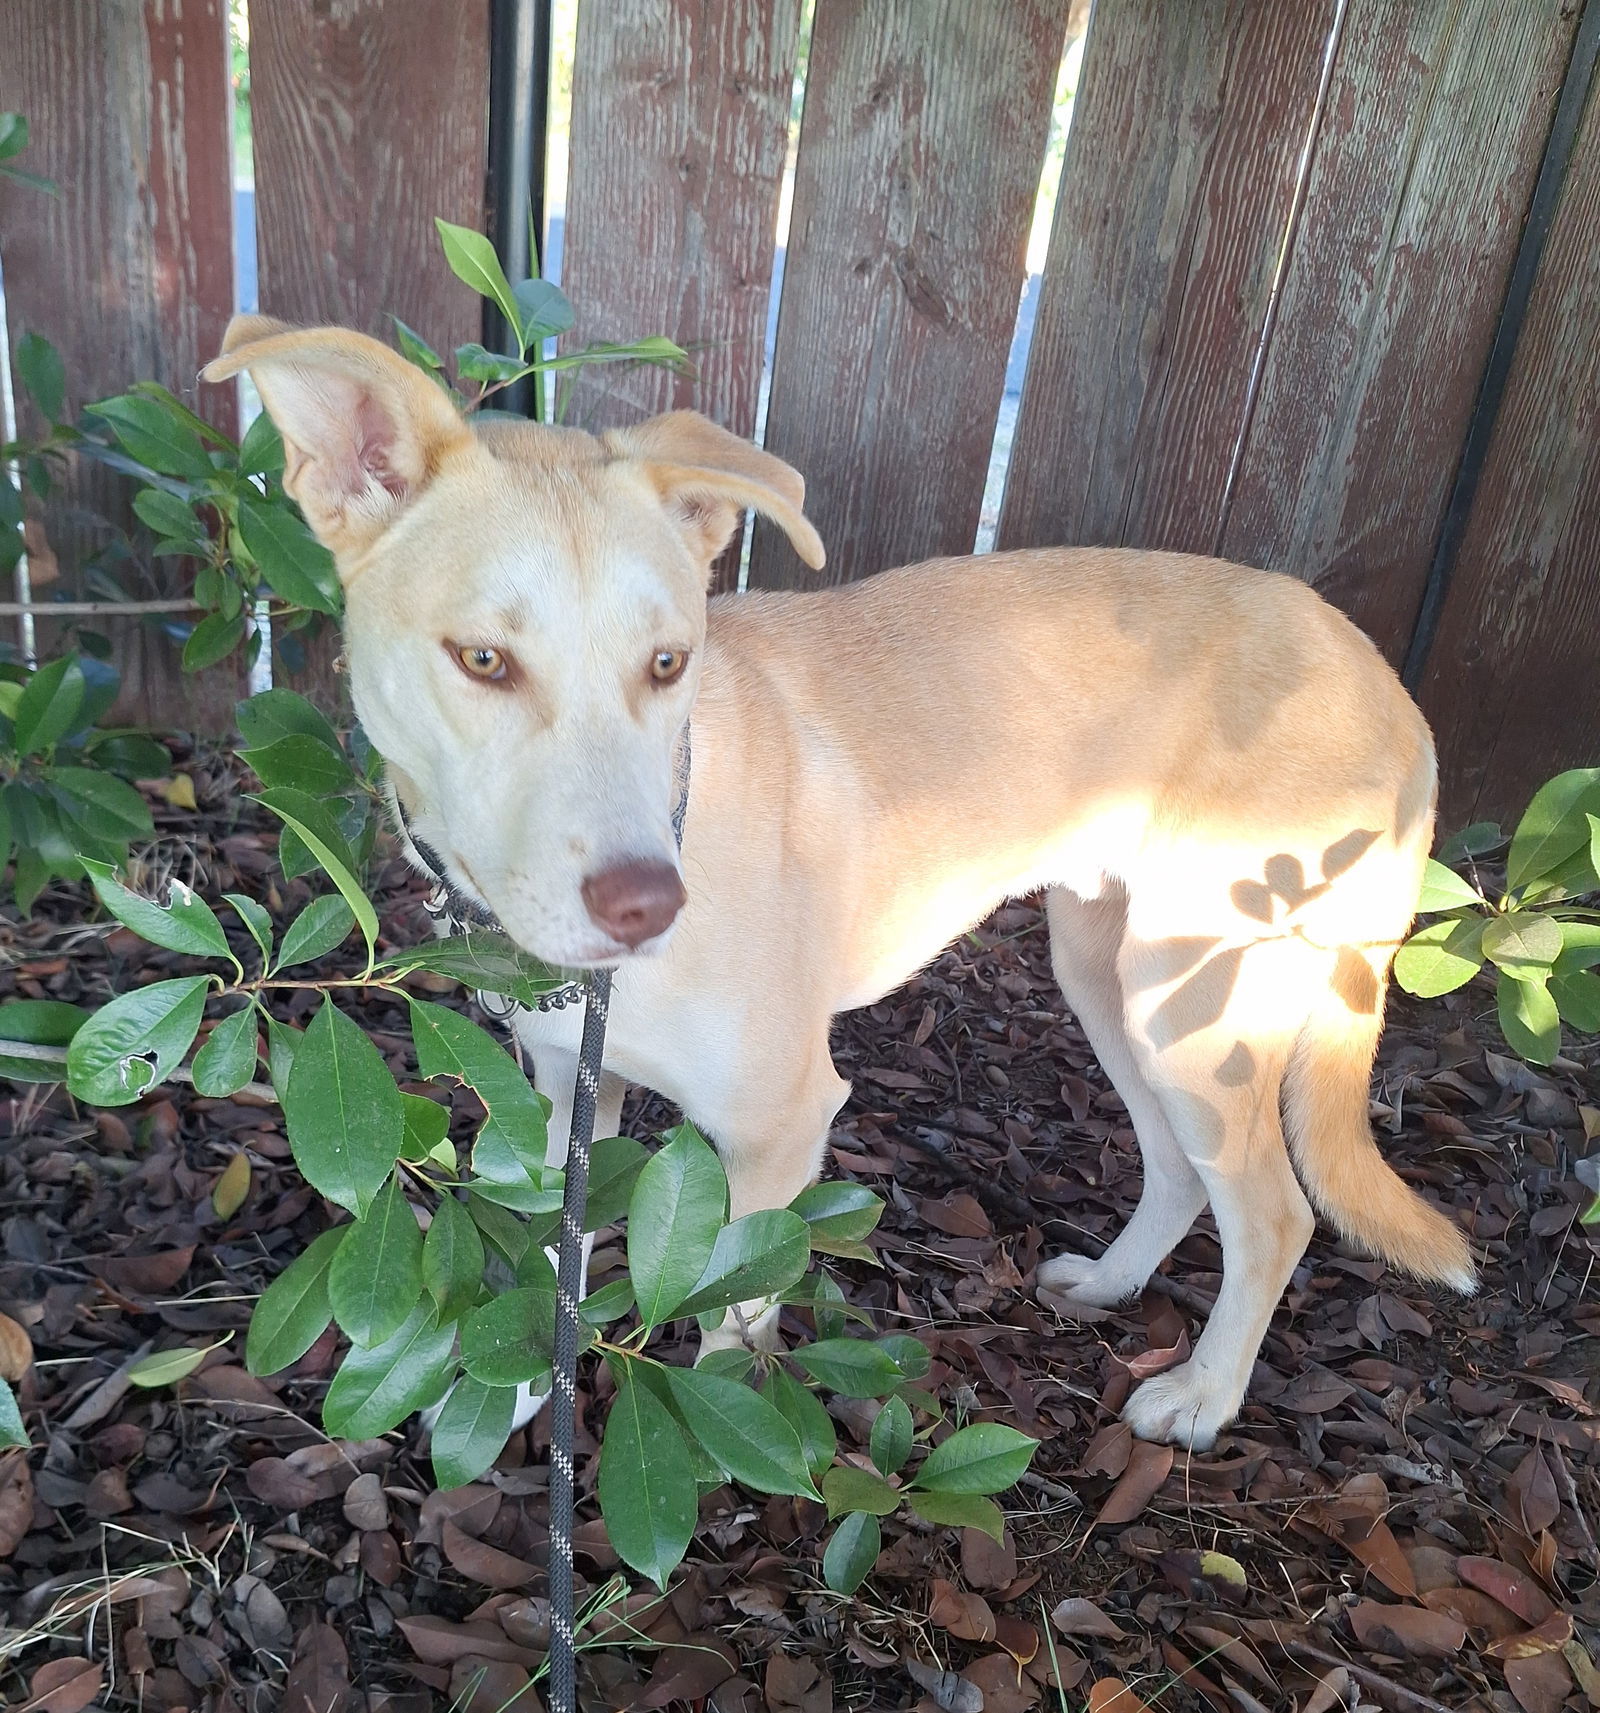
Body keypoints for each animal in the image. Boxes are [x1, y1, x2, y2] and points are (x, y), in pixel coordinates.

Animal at [206, 318, 1486, 1445]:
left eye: (667, 663)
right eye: (482, 659)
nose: (649, 907)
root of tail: (1379, 676)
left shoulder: (781, 1129)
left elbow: (724, 1330)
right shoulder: (569, 1094)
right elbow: (546, 1264)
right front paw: (517, 1395)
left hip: (1196, 1003)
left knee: (1272, 1211)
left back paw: (1204, 1398)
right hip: (1109, 975)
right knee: (1179, 1171)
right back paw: (1116, 1287)